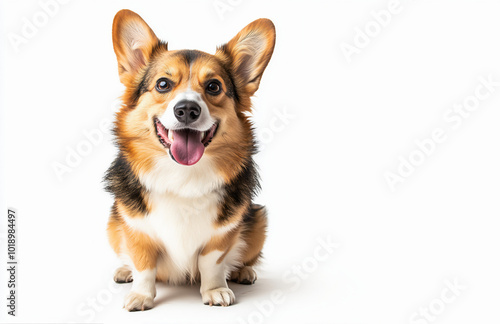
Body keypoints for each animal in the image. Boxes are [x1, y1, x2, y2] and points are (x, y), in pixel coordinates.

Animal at [105, 8, 276, 310]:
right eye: (163, 84)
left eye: (214, 86)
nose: (187, 109)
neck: (182, 176)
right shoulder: (136, 229)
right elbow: (144, 265)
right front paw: (141, 295)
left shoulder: (221, 236)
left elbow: (212, 263)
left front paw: (215, 290)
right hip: (112, 224)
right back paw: (124, 270)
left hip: (258, 220)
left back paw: (244, 272)